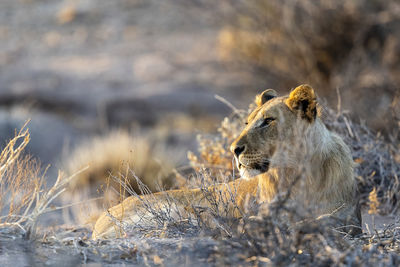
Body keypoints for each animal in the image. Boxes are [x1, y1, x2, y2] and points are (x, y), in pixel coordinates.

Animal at [92, 85, 360, 240]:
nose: (234, 149)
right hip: (175, 211)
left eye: (268, 121)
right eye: (247, 122)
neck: (297, 175)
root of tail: (99, 223)